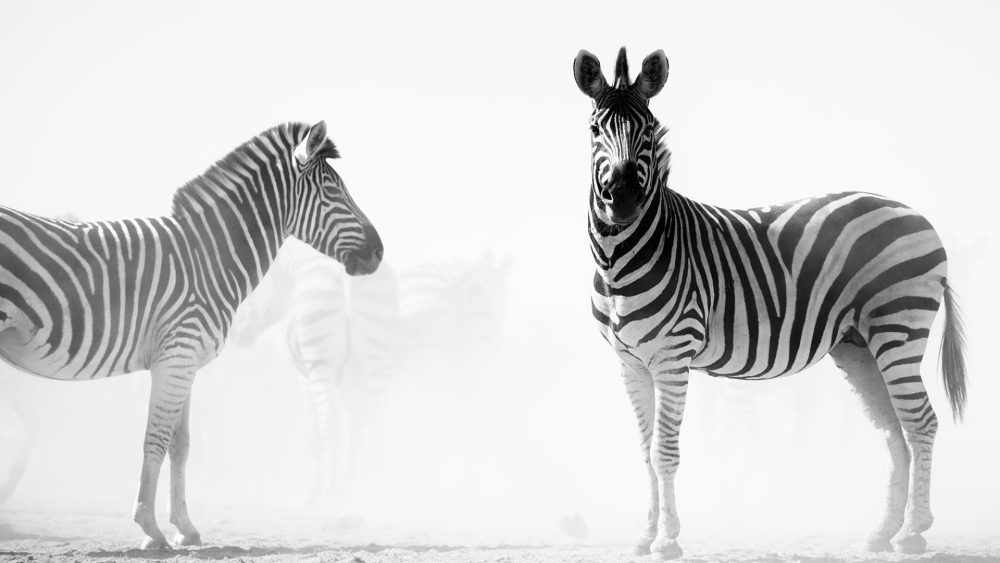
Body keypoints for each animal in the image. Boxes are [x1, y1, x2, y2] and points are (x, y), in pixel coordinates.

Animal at [0, 121, 383, 549]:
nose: (379, 252)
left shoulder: (183, 360)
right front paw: (149, 529)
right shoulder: (177, 354)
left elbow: (180, 444)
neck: (208, 255)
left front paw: (184, 527)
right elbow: (156, 438)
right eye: (334, 190)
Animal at [573, 48, 967, 559]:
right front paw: (645, 536)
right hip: (858, 345)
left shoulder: (672, 356)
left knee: (921, 422)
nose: (623, 200)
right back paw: (883, 532)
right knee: (892, 430)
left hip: (898, 325)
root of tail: (916, 213)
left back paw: (913, 533)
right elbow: (644, 451)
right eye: (594, 129)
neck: (619, 260)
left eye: (649, 127)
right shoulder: (630, 363)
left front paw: (668, 540)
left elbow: (664, 451)